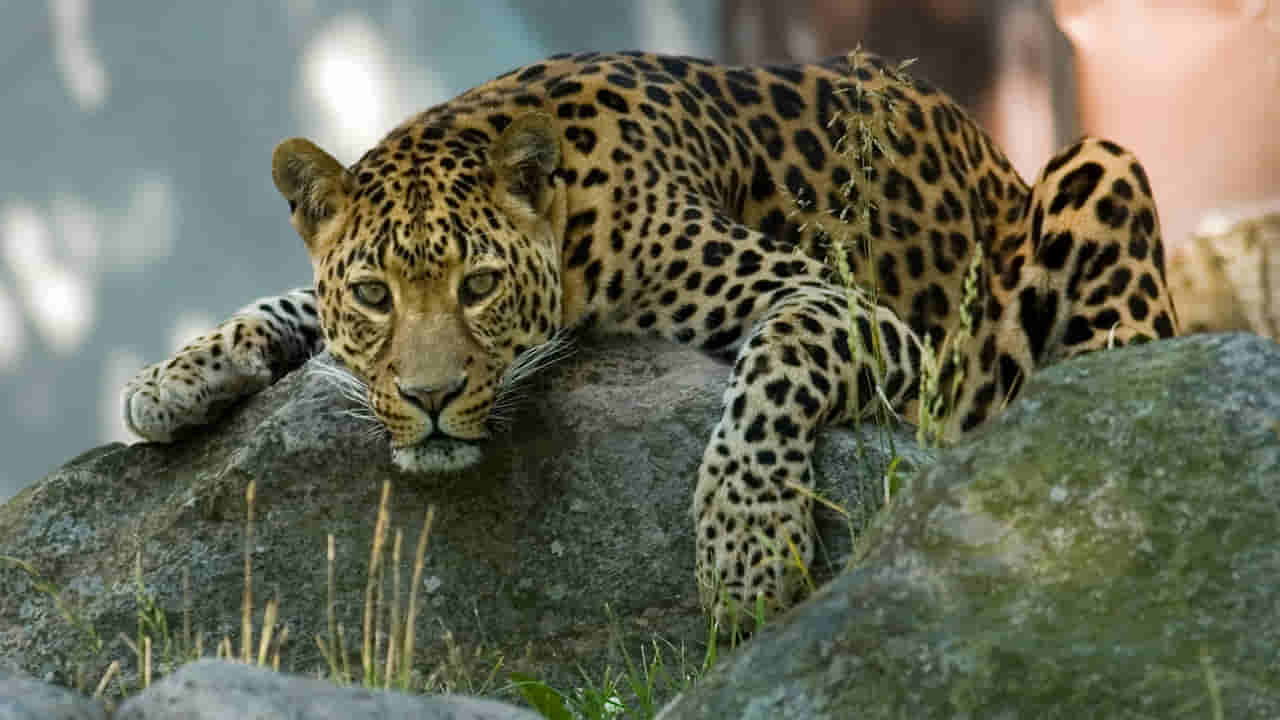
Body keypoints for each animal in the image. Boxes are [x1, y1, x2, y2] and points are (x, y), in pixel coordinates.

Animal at [122, 49, 1179, 628]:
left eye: (479, 285)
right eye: (376, 293)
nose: (428, 401)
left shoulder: (852, 311)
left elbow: (777, 364)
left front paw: (744, 552)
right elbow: (288, 301)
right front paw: (174, 376)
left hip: (1099, 166)